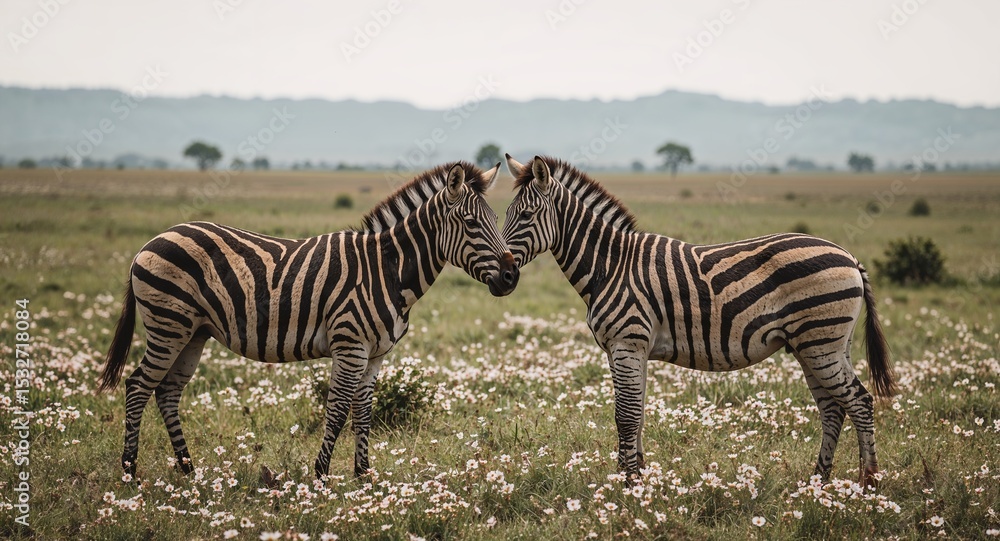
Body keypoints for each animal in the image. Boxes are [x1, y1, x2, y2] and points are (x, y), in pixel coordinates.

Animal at [98, 161, 519, 480]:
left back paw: (188, 471)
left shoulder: (376, 354)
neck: (388, 269)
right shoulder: (350, 345)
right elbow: (337, 411)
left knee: (167, 392)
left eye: (497, 217)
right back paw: (130, 473)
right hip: (169, 325)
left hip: (193, 333)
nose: (511, 277)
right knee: (138, 387)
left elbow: (364, 413)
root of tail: (151, 241)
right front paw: (320, 477)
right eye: (471, 223)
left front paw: (364, 477)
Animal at [501, 154, 895, 488]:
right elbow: (638, 412)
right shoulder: (630, 348)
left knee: (860, 402)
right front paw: (639, 478)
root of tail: (849, 256)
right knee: (833, 408)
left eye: (526, 216)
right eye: (505, 214)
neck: (610, 266)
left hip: (819, 343)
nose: (503, 276)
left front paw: (629, 485)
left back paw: (868, 483)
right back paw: (817, 483)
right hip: (819, 345)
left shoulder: (626, 343)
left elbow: (625, 415)